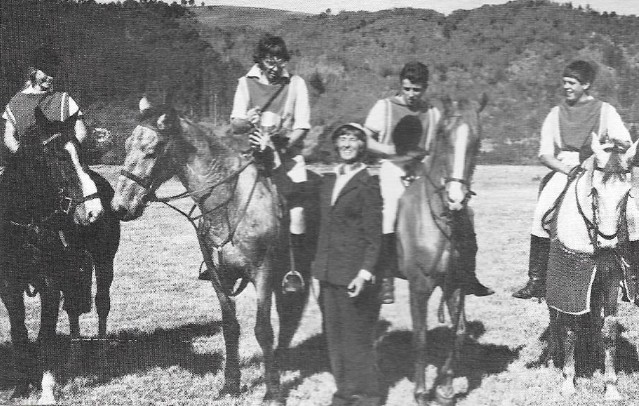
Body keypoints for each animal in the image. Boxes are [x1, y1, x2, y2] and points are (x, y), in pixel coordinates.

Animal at [0, 135, 120, 404]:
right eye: (60, 158)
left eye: (82, 155)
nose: (94, 211)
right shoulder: (9, 286)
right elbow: (18, 331)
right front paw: (21, 387)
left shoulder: (50, 285)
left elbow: (46, 335)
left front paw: (47, 390)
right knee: (73, 309)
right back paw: (74, 361)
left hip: (104, 261)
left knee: (102, 303)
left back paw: (102, 356)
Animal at [111, 99, 314, 406]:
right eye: (126, 146)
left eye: (152, 151)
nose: (120, 207)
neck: (228, 205)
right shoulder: (221, 277)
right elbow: (230, 327)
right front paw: (231, 384)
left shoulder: (263, 274)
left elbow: (263, 330)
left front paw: (273, 392)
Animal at [398, 96, 488, 406]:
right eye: (444, 137)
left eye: (476, 141)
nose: (455, 199)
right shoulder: (419, 286)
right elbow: (420, 338)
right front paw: (421, 392)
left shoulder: (454, 283)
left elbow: (458, 333)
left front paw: (446, 388)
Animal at [544, 135, 636, 402]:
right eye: (594, 191)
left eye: (627, 193)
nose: (608, 243)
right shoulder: (570, 283)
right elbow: (569, 330)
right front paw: (568, 382)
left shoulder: (610, 280)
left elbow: (609, 330)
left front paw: (611, 386)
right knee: (554, 317)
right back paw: (553, 354)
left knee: (594, 317)